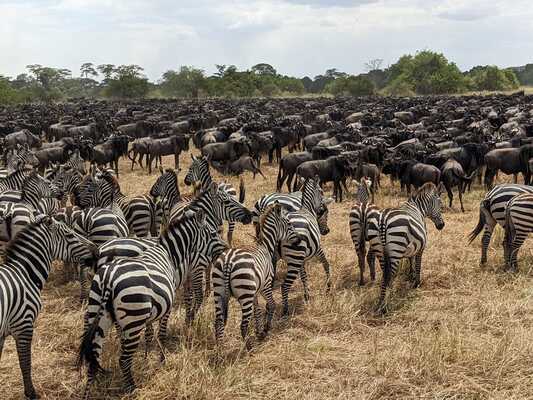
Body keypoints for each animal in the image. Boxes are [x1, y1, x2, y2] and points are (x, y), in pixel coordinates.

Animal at [0, 217, 96, 398]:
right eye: (70, 235)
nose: (97, 250)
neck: (25, 274)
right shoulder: (24, 325)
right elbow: (25, 362)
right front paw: (31, 393)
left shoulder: (3, 333)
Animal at [76, 209, 222, 396]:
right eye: (213, 233)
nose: (225, 248)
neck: (170, 254)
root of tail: (108, 278)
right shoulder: (169, 303)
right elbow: (162, 332)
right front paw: (162, 359)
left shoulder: (152, 307)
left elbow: (150, 331)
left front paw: (146, 355)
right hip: (133, 317)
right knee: (123, 360)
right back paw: (132, 389)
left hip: (99, 311)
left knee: (94, 356)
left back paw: (90, 389)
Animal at [213, 203, 304, 346]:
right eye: (289, 223)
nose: (299, 240)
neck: (265, 246)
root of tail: (228, 260)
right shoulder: (265, 286)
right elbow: (272, 305)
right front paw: (265, 330)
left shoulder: (254, 292)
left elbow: (257, 311)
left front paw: (258, 330)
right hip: (245, 294)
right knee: (243, 326)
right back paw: (249, 347)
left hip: (219, 292)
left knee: (219, 323)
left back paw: (220, 349)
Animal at [276, 177, 330, 318]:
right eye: (321, 191)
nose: (327, 231)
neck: (307, 208)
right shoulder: (317, 249)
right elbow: (326, 263)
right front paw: (328, 287)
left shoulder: (302, 258)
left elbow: (304, 276)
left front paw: (307, 295)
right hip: (294, 259)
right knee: (284, 286)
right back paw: (286, 311)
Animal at [374, 181, 444, 312]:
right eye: (441, 205)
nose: (442, 225)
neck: (418, 208)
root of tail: (383, 220)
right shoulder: (421, 247)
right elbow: (418, 264)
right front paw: (417, 282)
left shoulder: (411, 246)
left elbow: (410, 259)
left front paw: (411, 275)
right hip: (396, 250)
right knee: (389, 276)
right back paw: (387, 304)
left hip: (379, 251)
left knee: (384, 276)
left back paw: (381, 302)